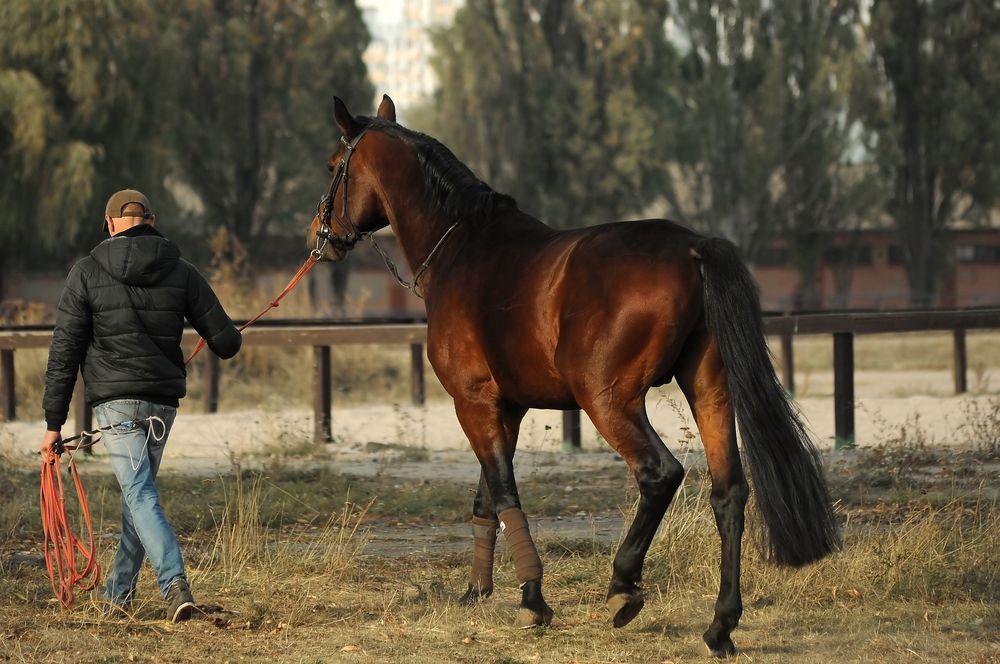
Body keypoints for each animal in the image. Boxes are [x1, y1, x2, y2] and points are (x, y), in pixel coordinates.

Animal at [306, 94, 840, 657]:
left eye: (332, 166)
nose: (319, 236)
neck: (464, 248)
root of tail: (694, 246)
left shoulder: (473, 402)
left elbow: (503, 492)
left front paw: (532, 601)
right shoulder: (506, 408)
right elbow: (486, 495)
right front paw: (477, 592)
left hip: (607, 400)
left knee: (660, 474)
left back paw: (623, 586)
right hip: (709, 391)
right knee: (729, 492)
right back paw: (720, 625)